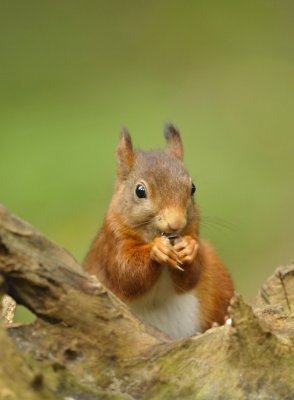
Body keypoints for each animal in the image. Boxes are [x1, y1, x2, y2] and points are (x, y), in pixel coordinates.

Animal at [83, 123, 234, 340]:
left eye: (193, 188)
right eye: (140, 191)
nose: (176, 222)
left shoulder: (193, 232)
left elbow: (190, 277)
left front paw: (189, 248)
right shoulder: (112, 241)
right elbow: (126, 273)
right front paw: (157, 250)